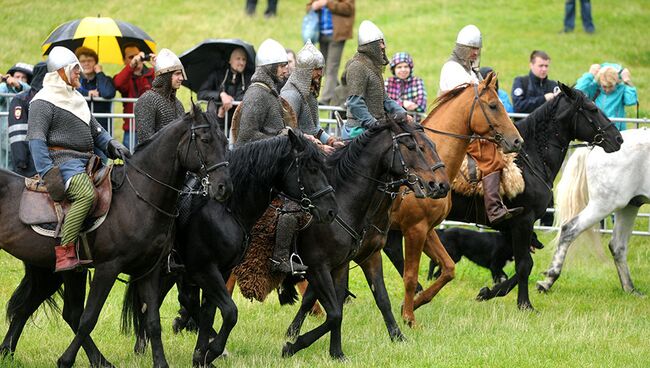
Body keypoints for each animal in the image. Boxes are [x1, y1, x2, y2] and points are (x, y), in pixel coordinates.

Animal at [0, 101, 232, 368]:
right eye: (205, 140)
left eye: (225, 141)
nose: (224, 187)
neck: (139, 197)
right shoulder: (107, 268)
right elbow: (89, 319)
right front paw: (65, 360)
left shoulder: (149, 270)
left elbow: (152, 321)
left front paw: (161, 363)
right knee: (65, 313)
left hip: (51, 269)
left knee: (36, 308)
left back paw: (9, 352)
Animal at [123, 130, 340, 368]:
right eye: (311, 168)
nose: (331, 211)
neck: (226, 209)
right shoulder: (205, 271)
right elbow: (229, 312)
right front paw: (212, 352)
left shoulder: (222, 271)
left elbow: (209, 313)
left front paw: (201, 355)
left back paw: (142, 345)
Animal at [280, 118, 448, 360]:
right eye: (413, 147)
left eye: (431, 145)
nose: (438, 185)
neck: (344, 203)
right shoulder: (319, 266)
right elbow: (330, 308)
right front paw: (294, 341)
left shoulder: (364, 258)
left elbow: (378, 300)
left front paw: (397, 337)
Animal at [384, 82, 624, 310]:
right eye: (593, 109)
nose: (618, 138)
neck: (531, 159)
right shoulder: (523, 222)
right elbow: (524, 265)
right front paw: (523, 304)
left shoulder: (510, 228)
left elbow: (523, 264)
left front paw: (489, 292)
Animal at [536, 128, 648, 294]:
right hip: (604, 204)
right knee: (569, 229)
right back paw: (548, 280)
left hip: (629, 205)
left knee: (618, 246)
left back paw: (630, 290)